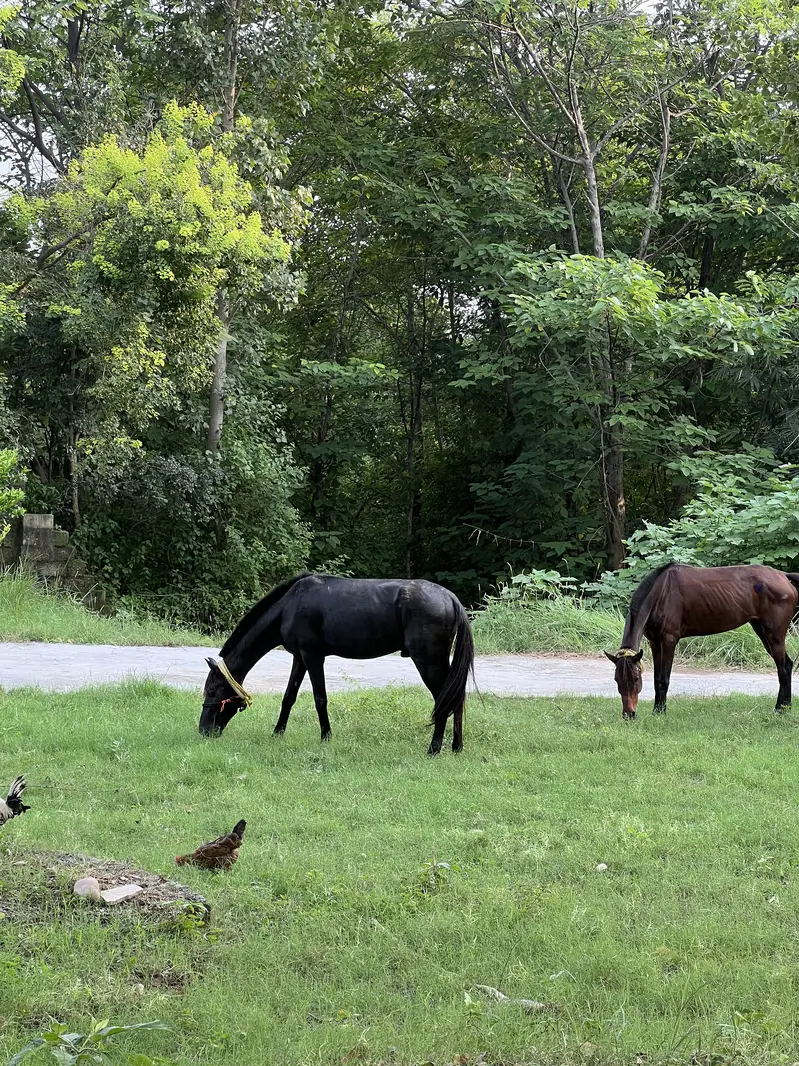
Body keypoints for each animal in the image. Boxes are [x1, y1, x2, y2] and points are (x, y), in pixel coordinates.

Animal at [199, 572, 475, 755]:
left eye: (213, 691)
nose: (204, 731)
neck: (290, 604)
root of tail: (450, 598)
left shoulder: (312, 656)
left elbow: (320, 698)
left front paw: (326, 737)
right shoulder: (299, 657)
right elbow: (289, 697)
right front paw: (277, 733)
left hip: (428, 661)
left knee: (444, 700)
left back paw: (434, 748)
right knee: (456, 697)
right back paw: (457, 746)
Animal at [605, 563, 799, 719]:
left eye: (636, 678)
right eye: (616, 679)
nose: (628, 715)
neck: (661, 593)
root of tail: (783, 576)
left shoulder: (669, 641)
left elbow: (664, 679)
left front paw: (660, 712)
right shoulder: (655, 642)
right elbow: (656, 679)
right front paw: (657, 710)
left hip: (774, 634)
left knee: (784, 667)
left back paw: (781, 708)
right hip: (762, 630)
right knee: (787, 665)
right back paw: (784, 707)